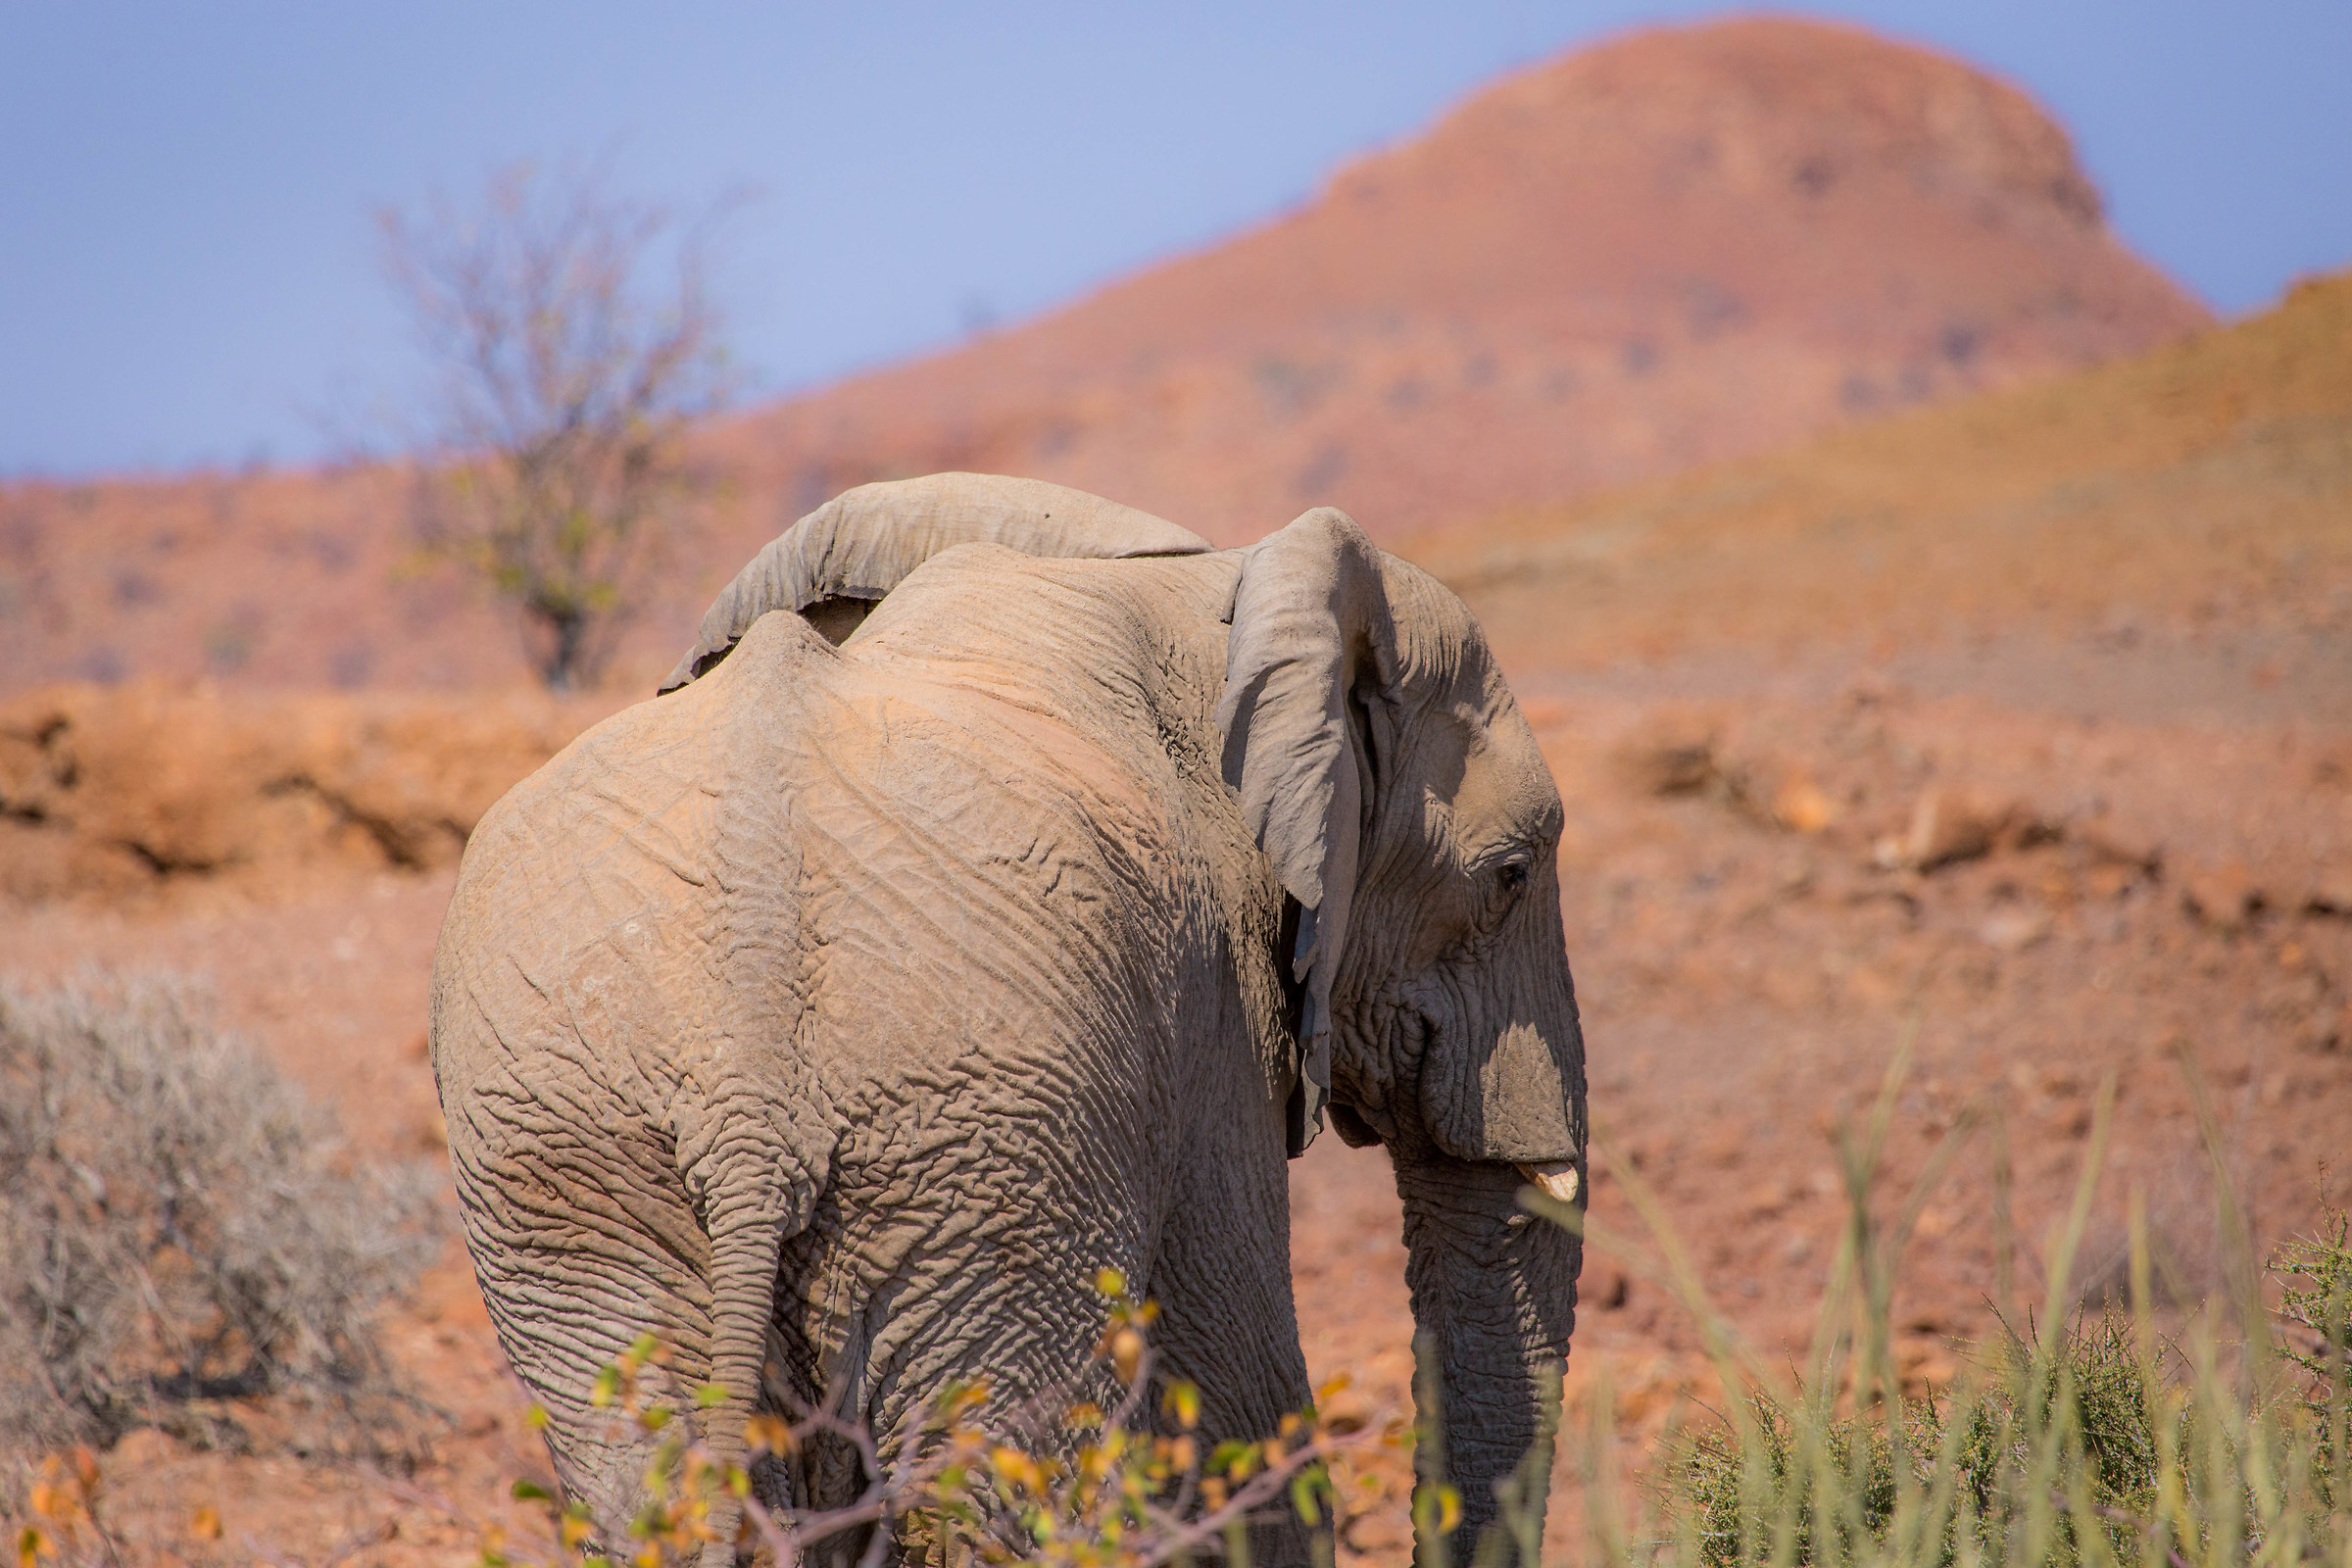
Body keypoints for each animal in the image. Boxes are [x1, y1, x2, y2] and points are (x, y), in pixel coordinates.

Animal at [429, 472, 1588, 1564]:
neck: (1208, 585)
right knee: (992, 1501)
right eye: (1510, 875)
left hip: (583, 1170)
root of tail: (746, 1104)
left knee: (655, 1490)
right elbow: (1241, 1411)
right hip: (988, 1135)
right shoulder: (1212, 1002)